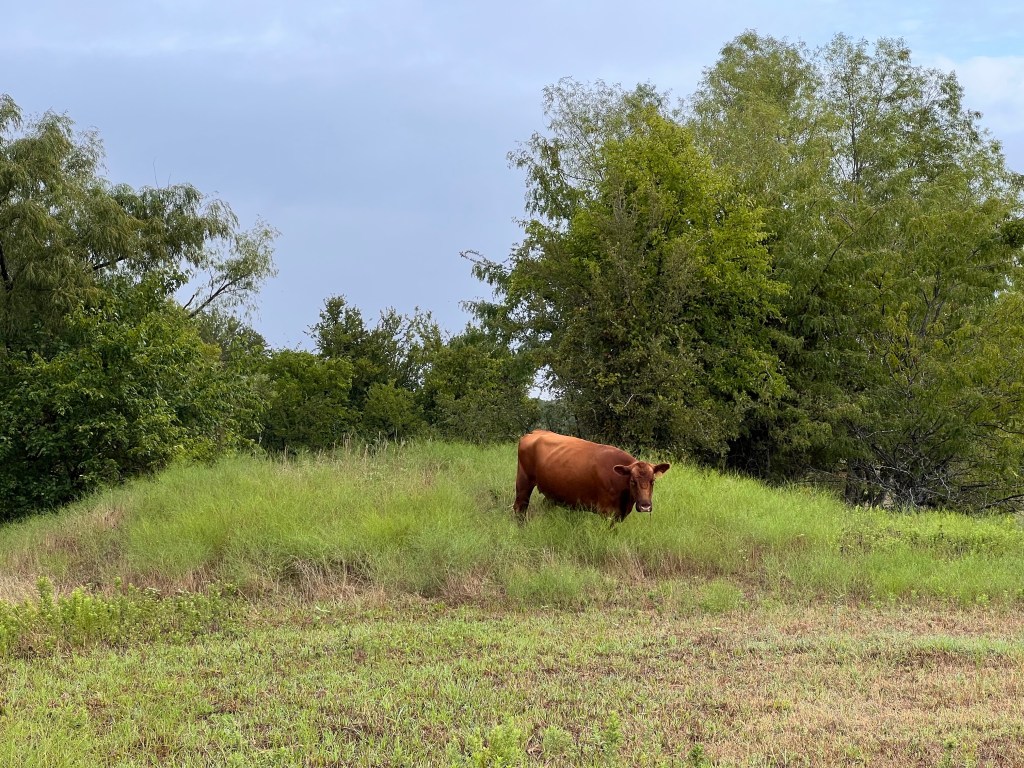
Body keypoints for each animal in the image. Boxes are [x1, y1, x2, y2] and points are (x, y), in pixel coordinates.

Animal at [513, 430, 670, 525]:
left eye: (653, 481)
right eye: (632, 481)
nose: (645, 506)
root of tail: (535, 432)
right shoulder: (606, 512)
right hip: (523, 481)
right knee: (520, 507)